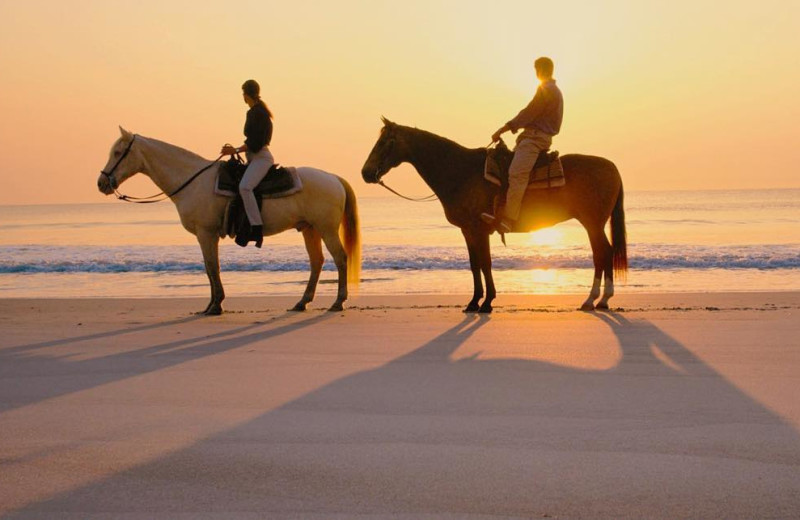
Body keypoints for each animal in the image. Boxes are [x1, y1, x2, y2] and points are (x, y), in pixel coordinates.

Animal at [97, 127, 362, 312]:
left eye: (118, 153)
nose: (101, 183)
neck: (193, 181)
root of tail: (334, 177)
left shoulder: (206, 233)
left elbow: (212, 266)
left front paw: (215, 306)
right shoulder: (205, 235)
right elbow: (208, 267)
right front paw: (211, 305)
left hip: (326, 229)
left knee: (340, 258)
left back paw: (338, 302)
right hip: (309, 228)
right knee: (316, 262)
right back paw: (302, 302)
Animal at [360, 118, 628, 312]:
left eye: (384, 142)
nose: (365, 173)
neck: (460, 172)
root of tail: (613, 167)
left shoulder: (479, 229)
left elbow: (485, 263)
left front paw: (487, 302)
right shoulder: (467, 230)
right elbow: (474, 264)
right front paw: (473, 302)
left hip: (592, 223)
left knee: (602, 253)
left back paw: (594, 299)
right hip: (594, 223)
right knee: (603, 253)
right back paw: (601, 300)